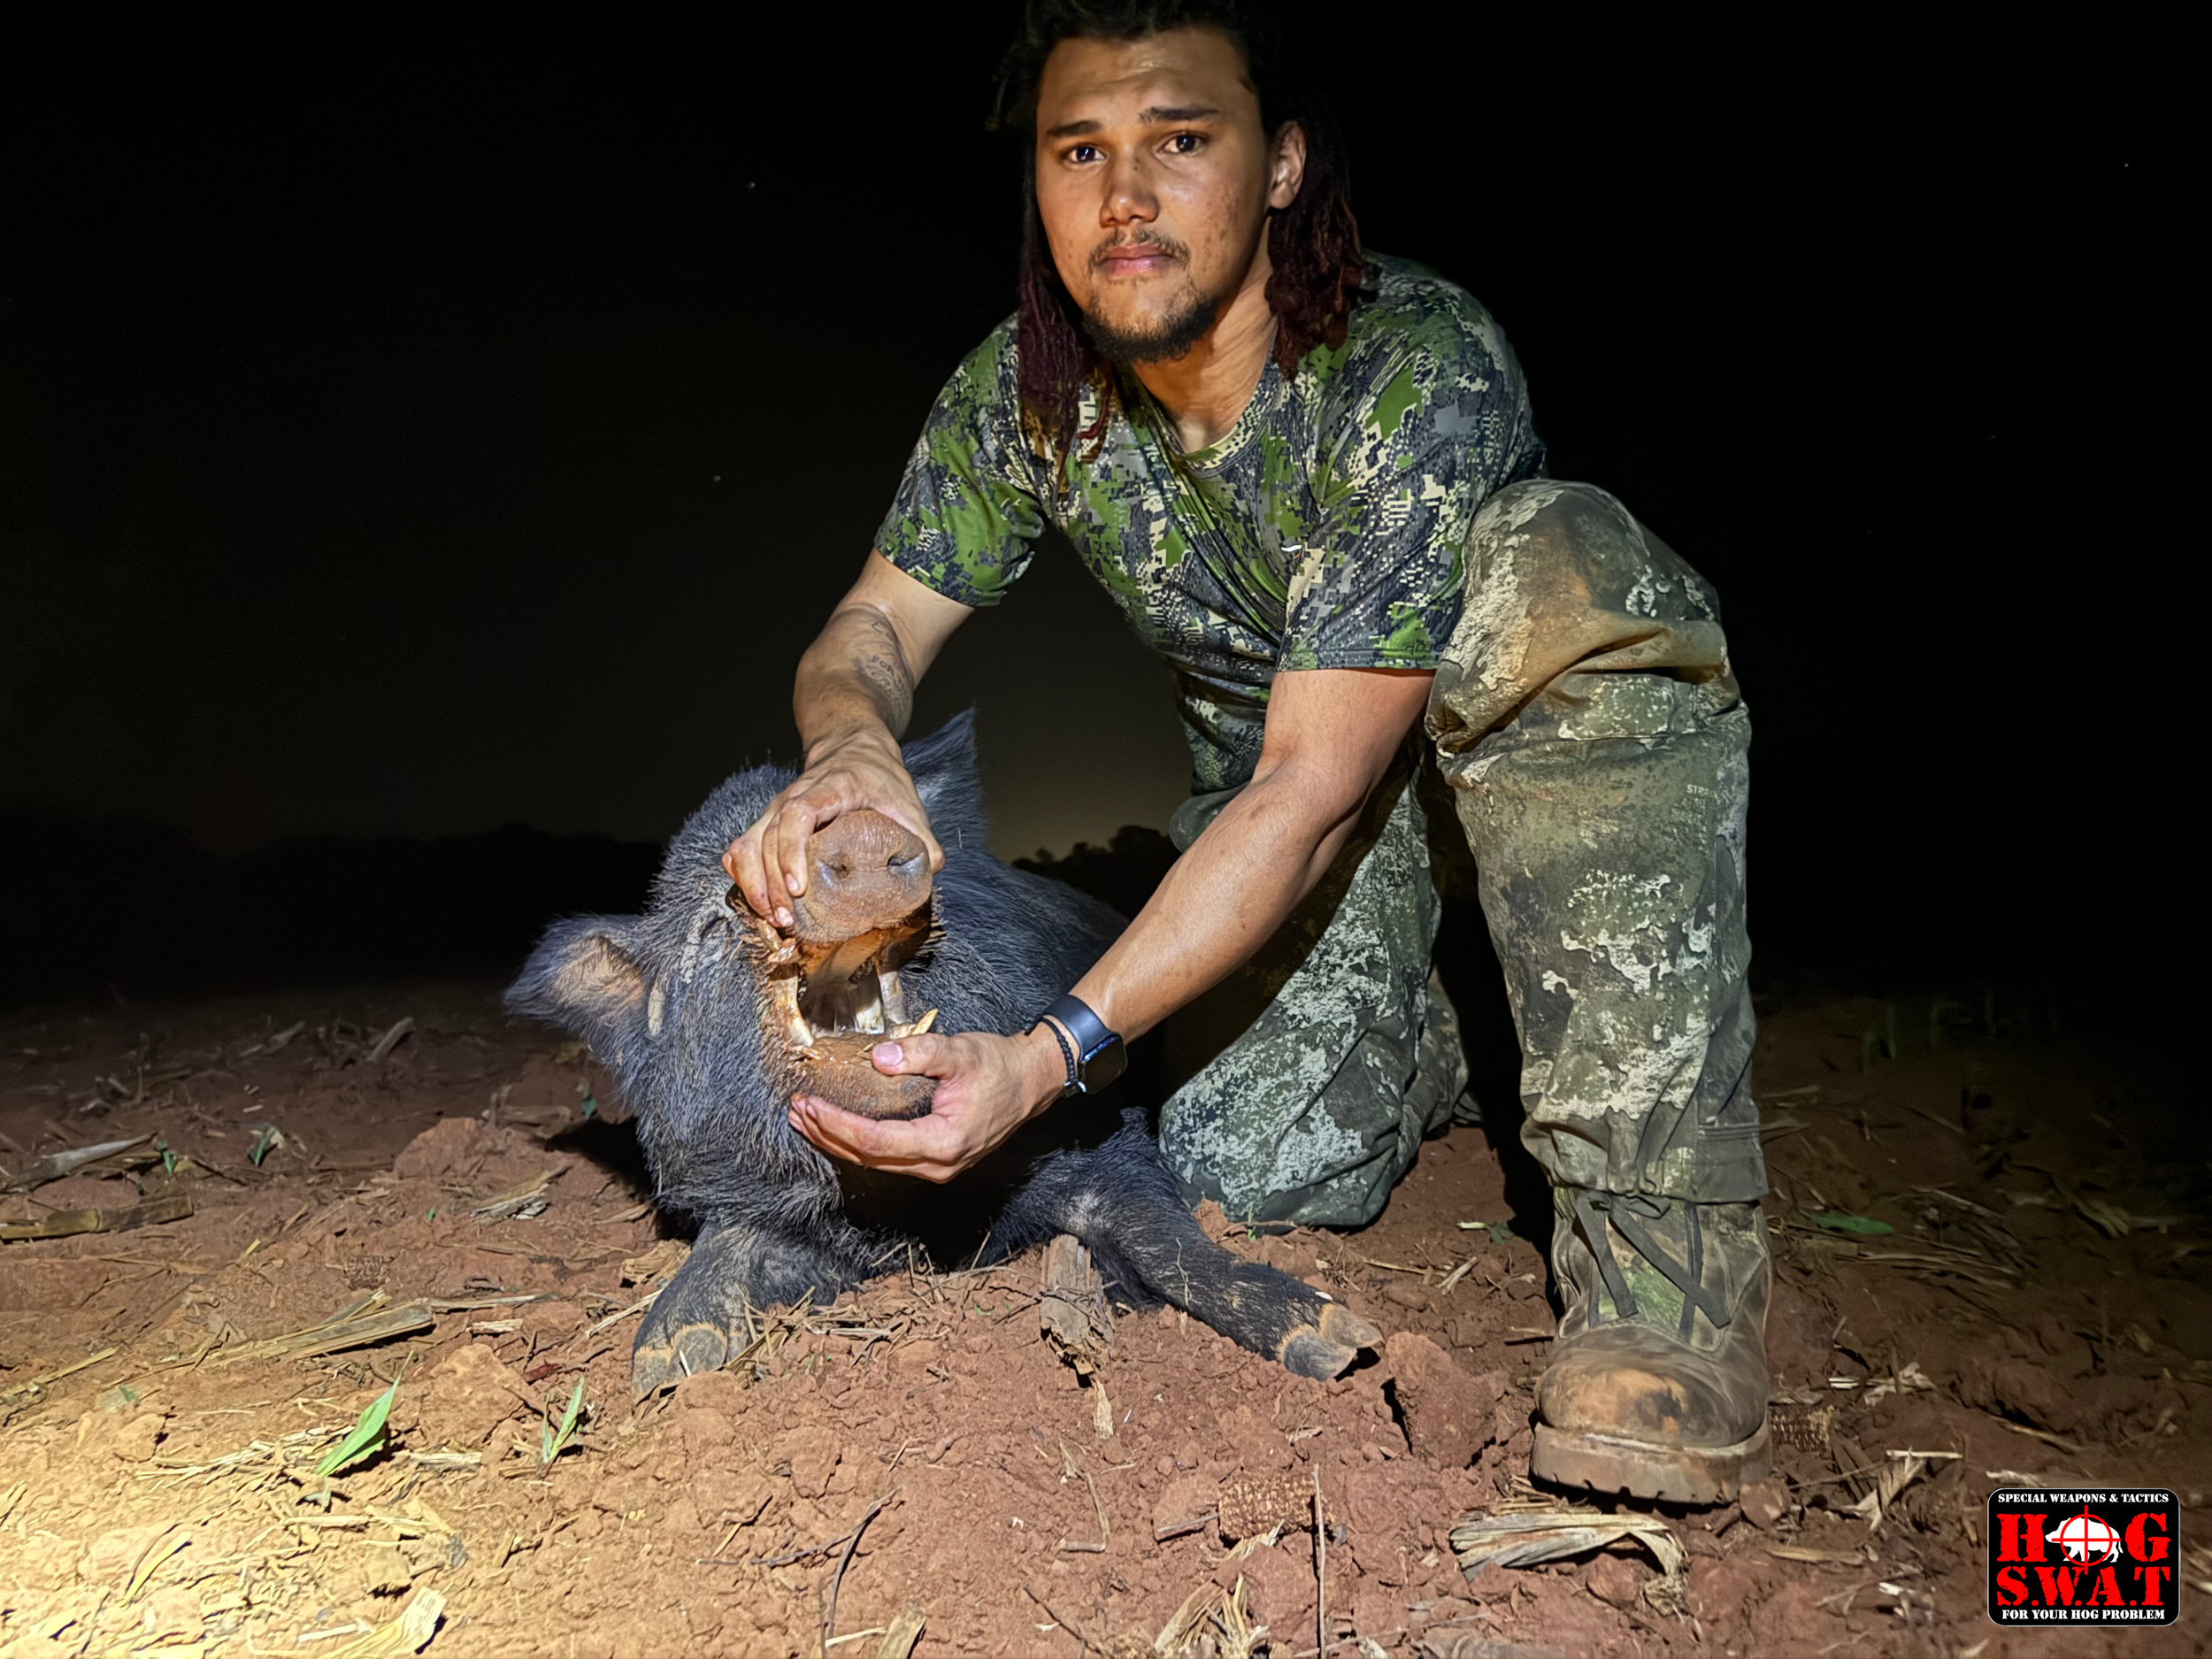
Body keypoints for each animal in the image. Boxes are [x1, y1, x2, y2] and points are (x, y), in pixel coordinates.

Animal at [506, 713, 1380, 1395]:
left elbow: (1164, 1236)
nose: (858, 832)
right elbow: (730, 1237)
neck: (908, 1208)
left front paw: (1339, 1341)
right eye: (717, 918)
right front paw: (664, 1359)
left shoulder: (1095, 1128)